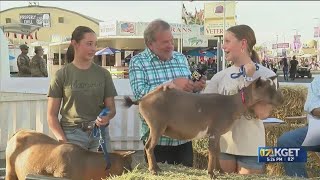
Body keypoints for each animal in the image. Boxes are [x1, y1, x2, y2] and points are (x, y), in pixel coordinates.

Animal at [124, 76, 284, 179]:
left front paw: (221, 171)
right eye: (269, 89)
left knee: (148, 146)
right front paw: (211, 173)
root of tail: (142, 99)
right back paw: (153, 170)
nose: (281, 100)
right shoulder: (214, 131)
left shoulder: (218, 134)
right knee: (149, 146)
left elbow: (218, 151)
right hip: (157, 125)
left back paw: (157, 168)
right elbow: (212, 151)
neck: (232, 104)